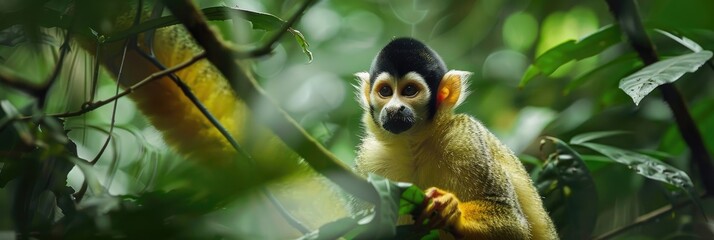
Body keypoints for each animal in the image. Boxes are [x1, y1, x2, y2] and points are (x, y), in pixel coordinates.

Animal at [354, 37, 560, 238]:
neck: (413, 146)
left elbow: (514, 222)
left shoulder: (465, 140)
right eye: (385, 91)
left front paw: (453, 213)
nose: (394, 108)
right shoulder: (369, 159)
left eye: (410, 90)